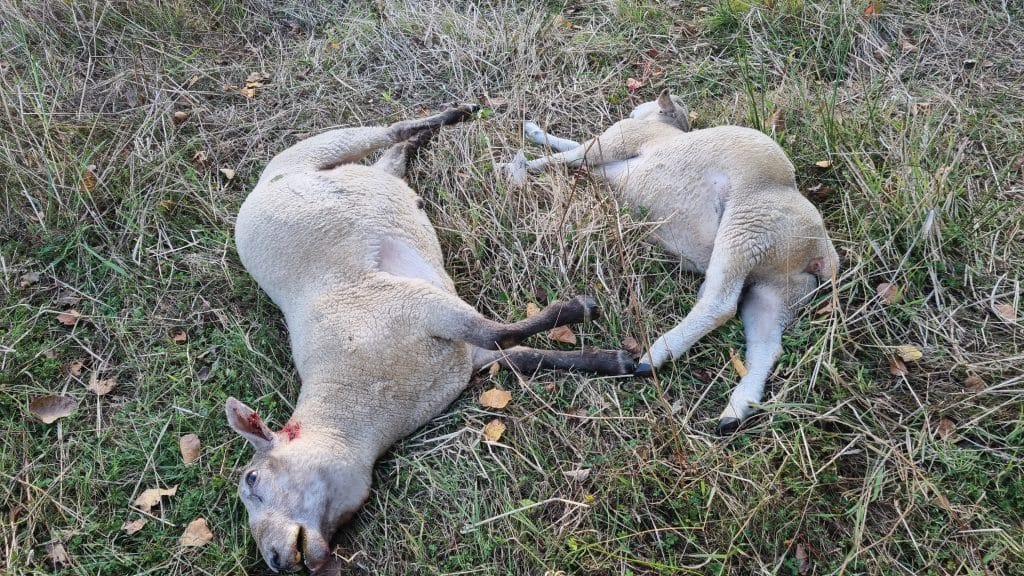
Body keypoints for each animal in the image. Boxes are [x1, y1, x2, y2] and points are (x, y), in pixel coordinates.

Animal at [226, 105, 635, 573]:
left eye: (252, 478)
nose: (275, 559)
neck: (361, 409)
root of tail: (258, 188)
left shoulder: (413, 305)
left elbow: (499, 333)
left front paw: (580, 311)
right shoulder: (463, 355)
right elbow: (521, 355)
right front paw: (613, 361)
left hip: (311, 151)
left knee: (387, 132)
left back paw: (452, 116)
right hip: (367, 175)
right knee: (392, 158)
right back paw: (426, 139)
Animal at [502, 89, 839, 435]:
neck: (664, 128)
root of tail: (821, 251)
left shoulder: (616, 140)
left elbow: (570, 154)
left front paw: (520, 162)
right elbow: (569, 146)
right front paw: (532, 135)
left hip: (747, 230)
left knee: (721, 305)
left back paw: (655, 356)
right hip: (780, 289)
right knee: (766, 346)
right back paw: (735, 410)